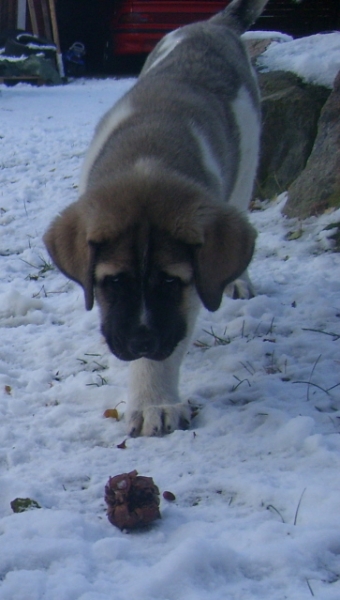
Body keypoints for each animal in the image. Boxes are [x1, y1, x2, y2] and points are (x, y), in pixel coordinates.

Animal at [44, 0, 268, 434]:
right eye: (114, 281)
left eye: (169, 282)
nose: (141, 343)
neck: (148, 160)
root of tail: (211, 23)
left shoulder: (189, 292)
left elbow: (170, 343)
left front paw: (154, 403)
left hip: (248, 158)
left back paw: (239, 281)